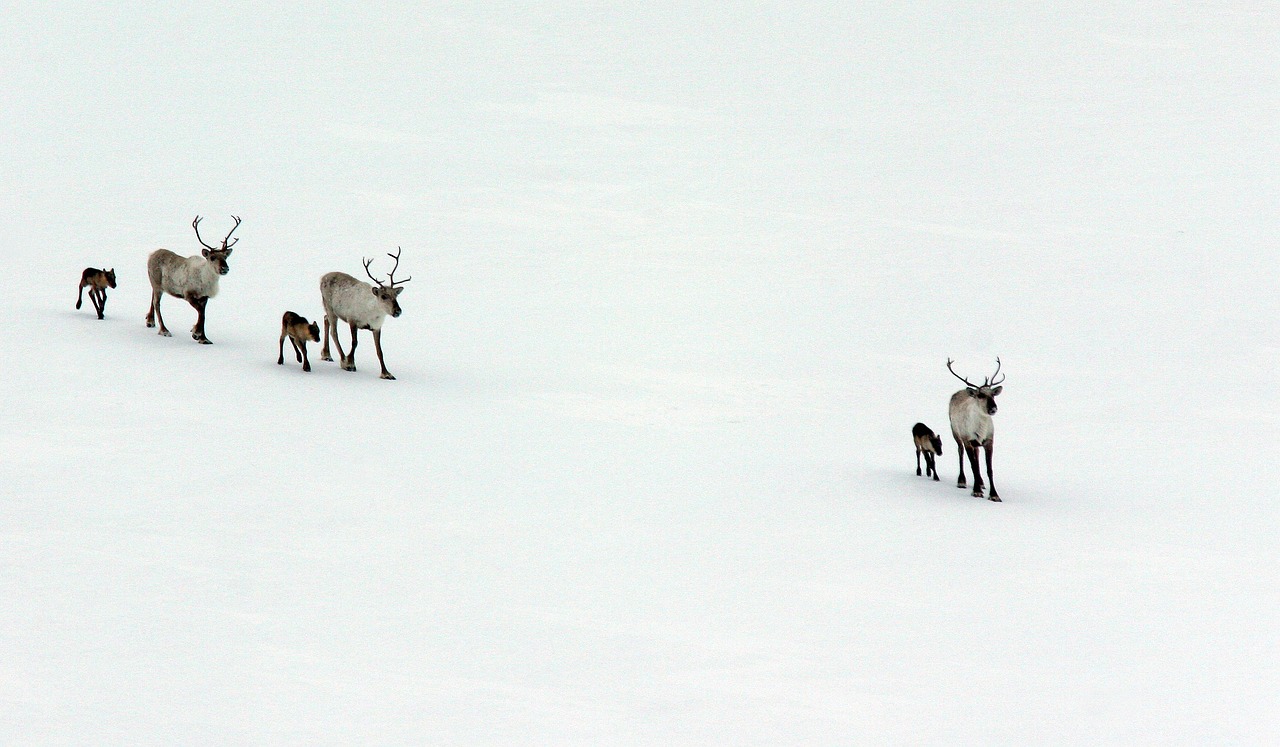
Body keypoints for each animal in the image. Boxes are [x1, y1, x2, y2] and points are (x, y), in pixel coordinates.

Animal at [147, 216, 241, 345]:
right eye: (212, 257)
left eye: (225, 257)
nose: (225, 269)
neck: (205, 280)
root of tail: (151, 255)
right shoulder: (188, 295)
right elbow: (201, 313)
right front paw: (197, 334)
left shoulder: (204, 297)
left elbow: (203, 313)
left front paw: (201, 336)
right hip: (157, 285)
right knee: (157, 303)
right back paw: (164, 330)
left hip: (157, 284)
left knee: (152, 297)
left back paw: (150, 321)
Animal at [320, 248, 409, 378]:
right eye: (383, 296)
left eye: (396, 296)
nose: (398, 311)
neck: (372, 314)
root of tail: (323, 277)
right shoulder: (352, 320)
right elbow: (354, 342)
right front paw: (349, 363)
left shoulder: (376, 327)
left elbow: (379, 351)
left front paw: (386, 373)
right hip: (329, 306)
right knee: (334, 332)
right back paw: (341, 359)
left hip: (330, 310)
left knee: (325, 318)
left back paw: (326, 354)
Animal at [947, 358, 1003, 501]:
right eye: (980, 395)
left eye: (993, 395)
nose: (993, 408)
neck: (981, 429)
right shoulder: (968, 440)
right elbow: (973, 466)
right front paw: (976, 491)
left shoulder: (989, 441)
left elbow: (989, 469)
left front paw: (994, 494)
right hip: (955, 433)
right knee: (960, 452)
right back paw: (962, 481)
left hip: (976, 444)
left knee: (977, 455)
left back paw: (981, 483)